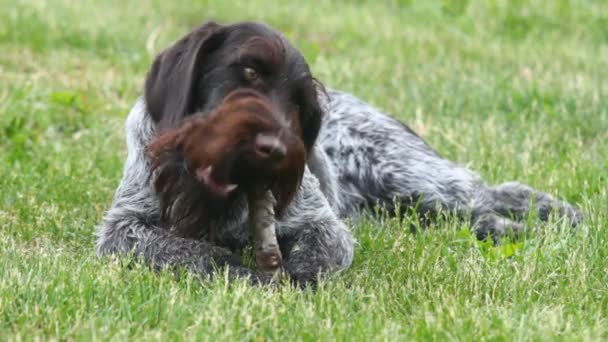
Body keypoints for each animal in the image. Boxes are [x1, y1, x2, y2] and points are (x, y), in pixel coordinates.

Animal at [96, 21, 584, 288]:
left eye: (298, 103)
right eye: (248, 72)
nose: (273, 148)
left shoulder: (321, 223)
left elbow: (319, 250)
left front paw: (296, 278)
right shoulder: (124, 229)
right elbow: (189, 251)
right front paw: (241, 272)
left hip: (411, 180)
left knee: (490, 191)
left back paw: (549, 215)